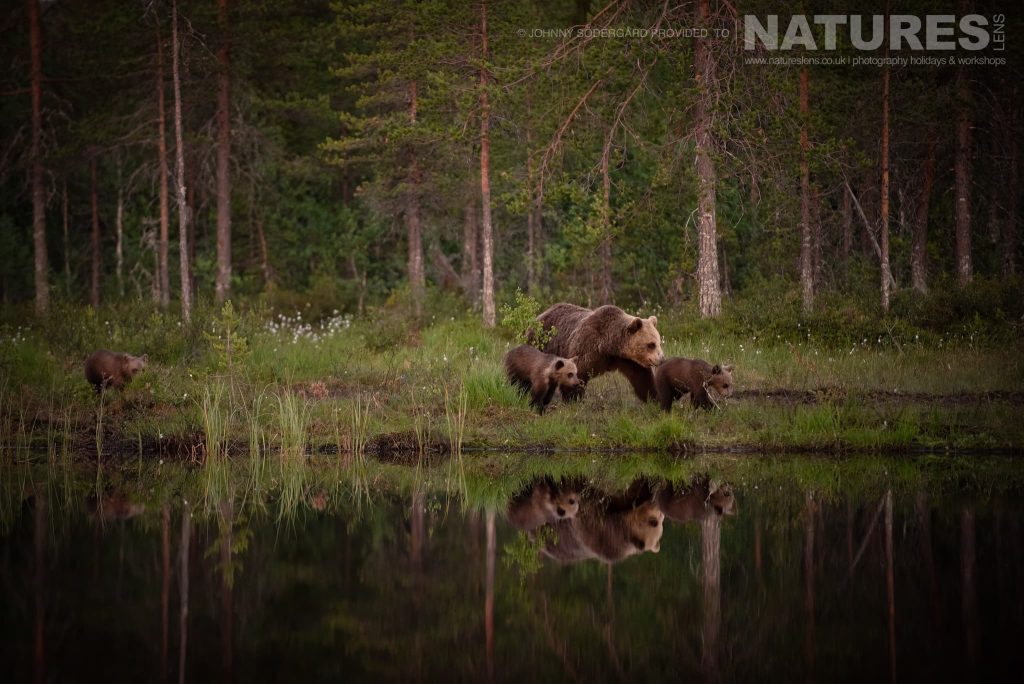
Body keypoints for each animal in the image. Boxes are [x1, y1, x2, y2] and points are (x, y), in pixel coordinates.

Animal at [531, 303, 664, 402]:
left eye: (659, 342)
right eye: (651, 344)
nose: (662, 359)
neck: (610, 345)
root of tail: (541, 314)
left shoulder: (627, 360)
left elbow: (642, 378)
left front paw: (655, 398)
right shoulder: (588, 346)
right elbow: (577, 372)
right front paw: (572, 398)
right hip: (542, 342)